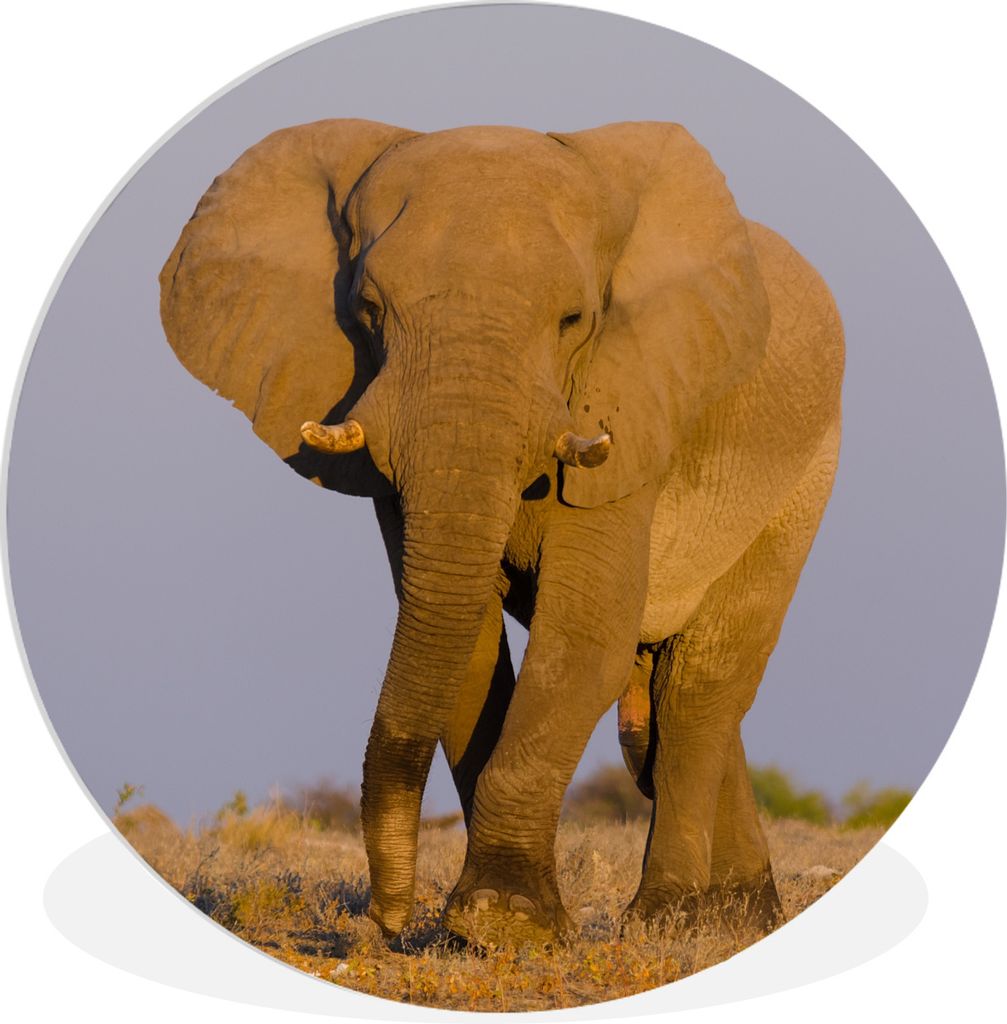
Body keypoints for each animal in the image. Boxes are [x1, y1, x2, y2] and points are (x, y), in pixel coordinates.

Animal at [159, 118, 844, 946]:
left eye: (573, 321)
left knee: (700, 687)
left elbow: (584, 638)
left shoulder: (631, 416)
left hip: (802, 480)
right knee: (658, 691)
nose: (386, 922)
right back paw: (738, 919)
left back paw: (669, 922)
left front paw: (502, 924)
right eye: (369, 310)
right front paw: (482, 931)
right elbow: (472, 647)